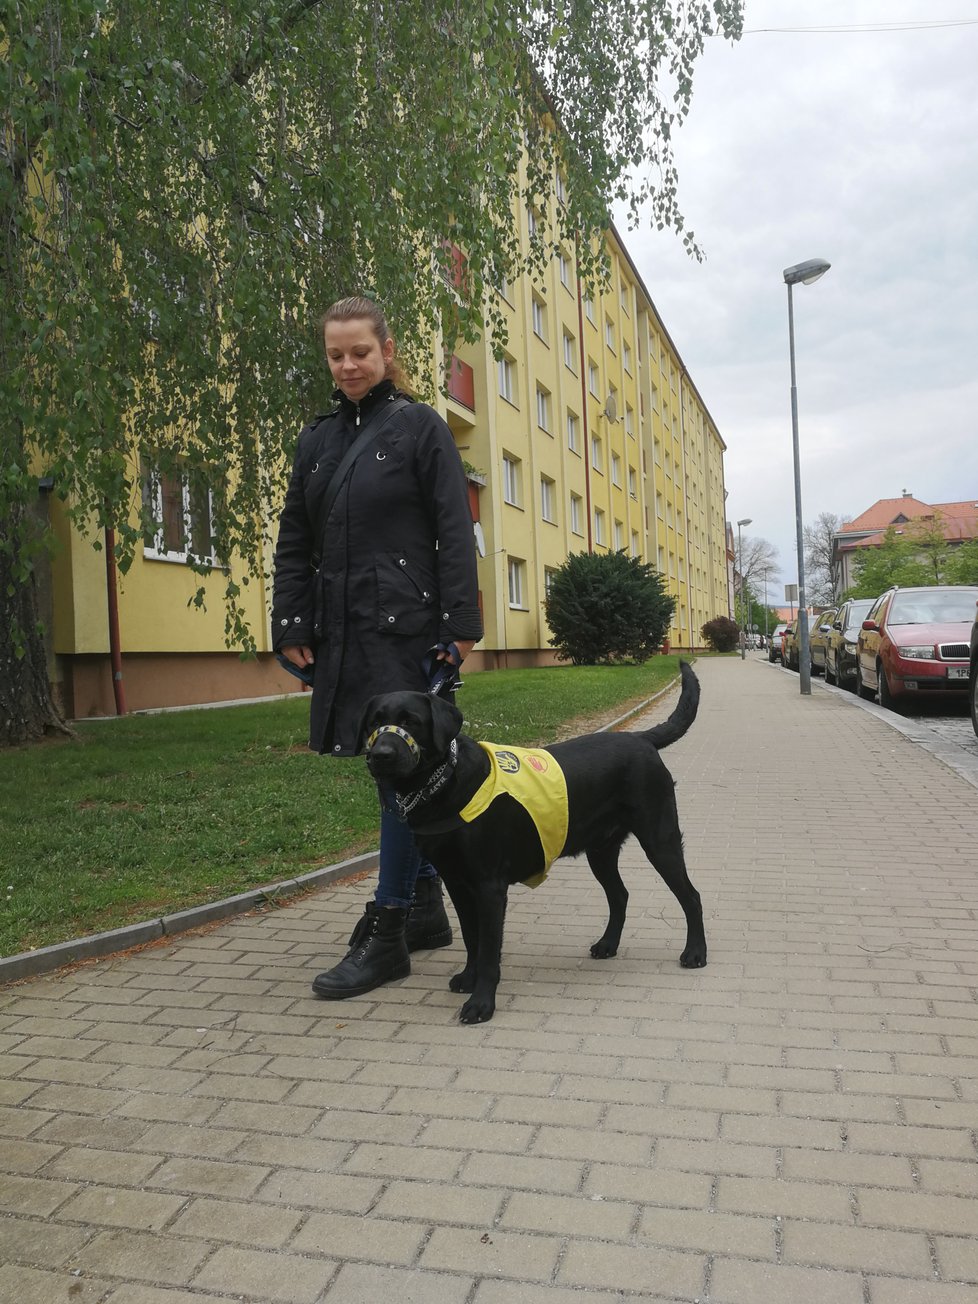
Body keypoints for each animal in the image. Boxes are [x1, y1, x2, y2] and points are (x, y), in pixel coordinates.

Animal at [359, 662, 704, 1017]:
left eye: (410, 721)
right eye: (374, 722)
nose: (380, 754)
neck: (445, 783)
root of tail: (640, 737)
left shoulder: (489, 887)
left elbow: (488, 950)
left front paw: (481, 1003)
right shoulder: (456, 883)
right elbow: (471, 938)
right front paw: (468, 978)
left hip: (660, 841)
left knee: (691, 896)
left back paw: (695, 953)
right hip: (601, 851)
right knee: (620, 895)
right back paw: (608, 944)